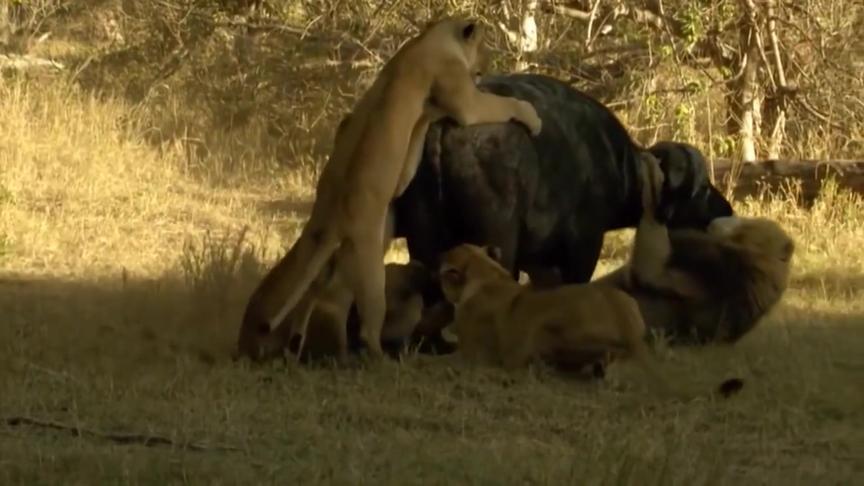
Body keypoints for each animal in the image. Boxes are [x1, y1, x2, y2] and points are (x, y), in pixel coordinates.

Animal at [236, 17, 544, 360]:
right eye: (484, 46)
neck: (429, 39)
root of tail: (334, 223)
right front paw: (533, 118)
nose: (485, 67)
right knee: (366, 325)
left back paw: (298, 346)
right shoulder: (467, 101)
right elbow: (504, 103)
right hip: (371, 269)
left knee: (309, 298)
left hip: (318, 260)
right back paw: (384, 358)